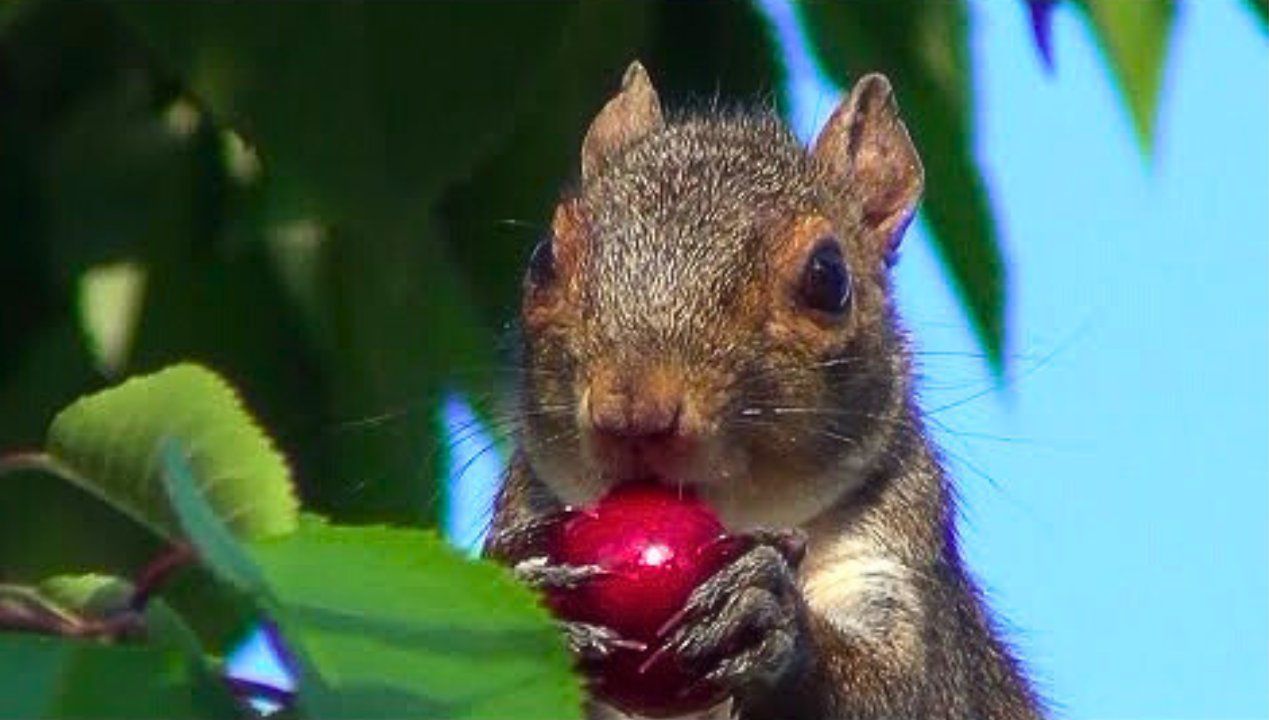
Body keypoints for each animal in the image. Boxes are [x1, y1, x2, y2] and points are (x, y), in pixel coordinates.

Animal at [484, 61, 1040, 720]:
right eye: (543, 260)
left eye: (829, 276)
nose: (632, 413)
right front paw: (528, 597)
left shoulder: (899, 574)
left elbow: (903, 694)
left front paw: (771, 624)